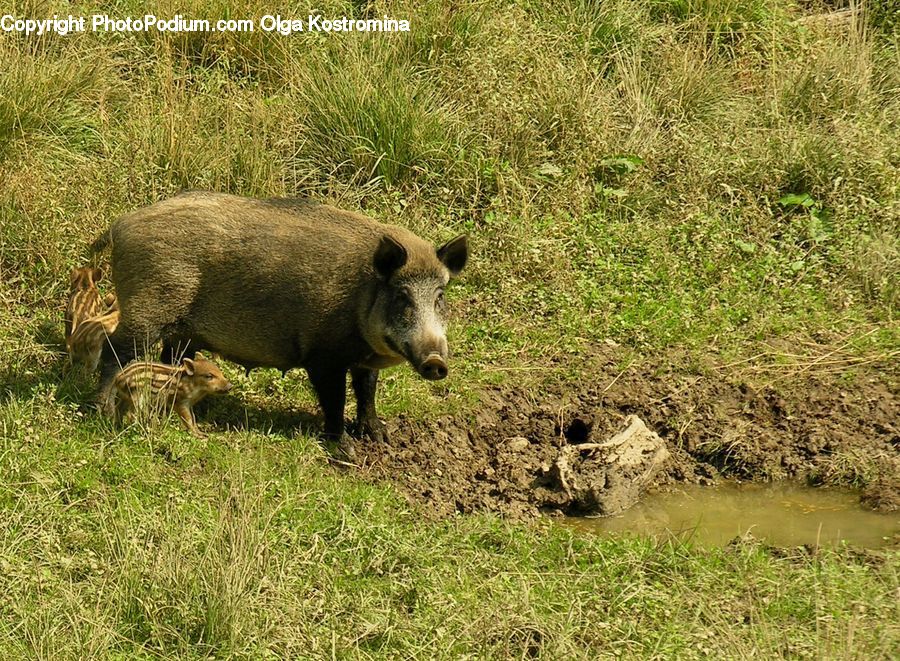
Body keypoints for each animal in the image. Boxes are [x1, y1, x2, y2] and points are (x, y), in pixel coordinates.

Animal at [91, 192, 468, 444]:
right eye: (402, 296)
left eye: (440, 296)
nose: (436, 361)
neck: (361, 294)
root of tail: (121, 225)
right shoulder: (322, 356)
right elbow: (335, 399)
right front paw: (344, 448)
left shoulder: (362, 360)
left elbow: (367, 391)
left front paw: (379, 436)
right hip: (147, 307)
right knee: (115, 351)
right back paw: (102, 412)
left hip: (179, 329)